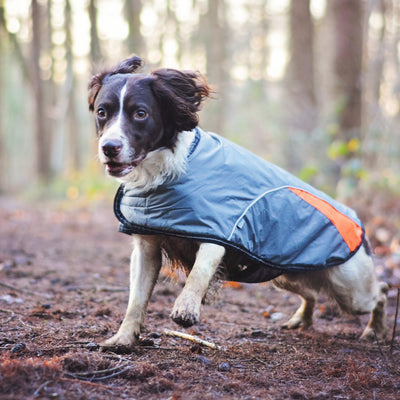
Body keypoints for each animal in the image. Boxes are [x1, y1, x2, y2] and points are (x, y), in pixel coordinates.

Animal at [87, 56, 388, 350]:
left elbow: (200, 271)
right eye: (102, 112)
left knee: (381, 292)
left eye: (141, 113)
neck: (166, 171)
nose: (109, 147)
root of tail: (361, 228)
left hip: (351, 289)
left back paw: (375, 330)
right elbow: (135, 300)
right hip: (285, 275)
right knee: (312, 293)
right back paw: (302, 319)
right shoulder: (146, 246)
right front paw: (123, 339)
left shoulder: (220, 230)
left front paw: (187, 307)